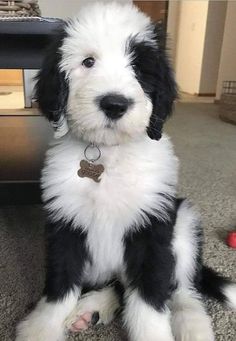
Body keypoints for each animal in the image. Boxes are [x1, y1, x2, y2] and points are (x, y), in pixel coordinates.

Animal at [15, 2, 235, 340]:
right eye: (88, 62)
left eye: (139, 67)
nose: (114, 104)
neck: (109, 153)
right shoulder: (65, 222)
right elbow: (60, 285)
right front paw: (41, 328)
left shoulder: (153, 227)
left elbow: (149, 296)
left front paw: (153, 334)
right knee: (119, 286)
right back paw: (91, 307)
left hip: (183, 221)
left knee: (184, 291)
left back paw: (193, 327)